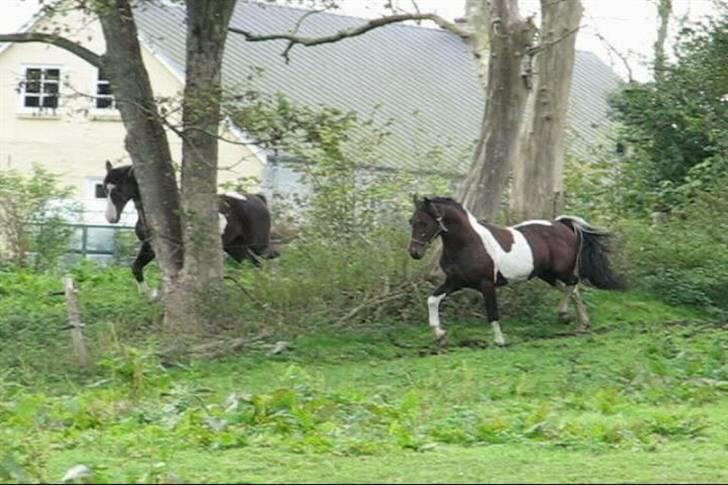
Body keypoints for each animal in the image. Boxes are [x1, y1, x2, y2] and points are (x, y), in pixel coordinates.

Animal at [104, 160, 280, 294]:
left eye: (119, 189)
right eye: (105, 189)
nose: (111, 218)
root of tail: (257, 198)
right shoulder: (149, 246)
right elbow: (136, 267)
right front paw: (149, 295)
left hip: (258, 245)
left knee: (271, 257)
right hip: (236, 248)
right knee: (255, 264)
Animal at [406, 195, 624, 346]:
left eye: (424, 222)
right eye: (411, 221)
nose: (414, 253)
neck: (468, 243)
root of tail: (562, 224)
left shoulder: (486, 284)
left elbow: (492, 313)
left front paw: (500, 341)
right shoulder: (454, 282)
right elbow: (432, 300)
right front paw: (440, 335)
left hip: (560, 271)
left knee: (573, 284)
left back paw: (564, 315)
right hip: (547, 275)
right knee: (573, 290)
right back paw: (582, 323)